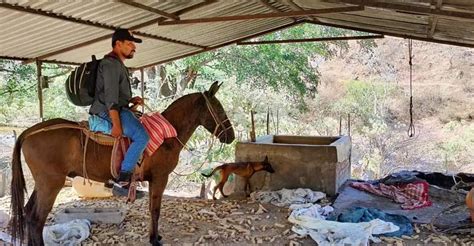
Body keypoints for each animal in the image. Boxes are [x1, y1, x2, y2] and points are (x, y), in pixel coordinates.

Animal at [9, 81, 235, 245]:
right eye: (218, 108)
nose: (231, 136)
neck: (167, 135)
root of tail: (30, 131)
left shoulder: (153, 180)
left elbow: (152, 208)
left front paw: (154, 236)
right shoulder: (160, 178)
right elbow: (155, 210)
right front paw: (154, 240)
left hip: (42, 184)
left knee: (29, 215)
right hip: (51, 184)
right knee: (37, 220)